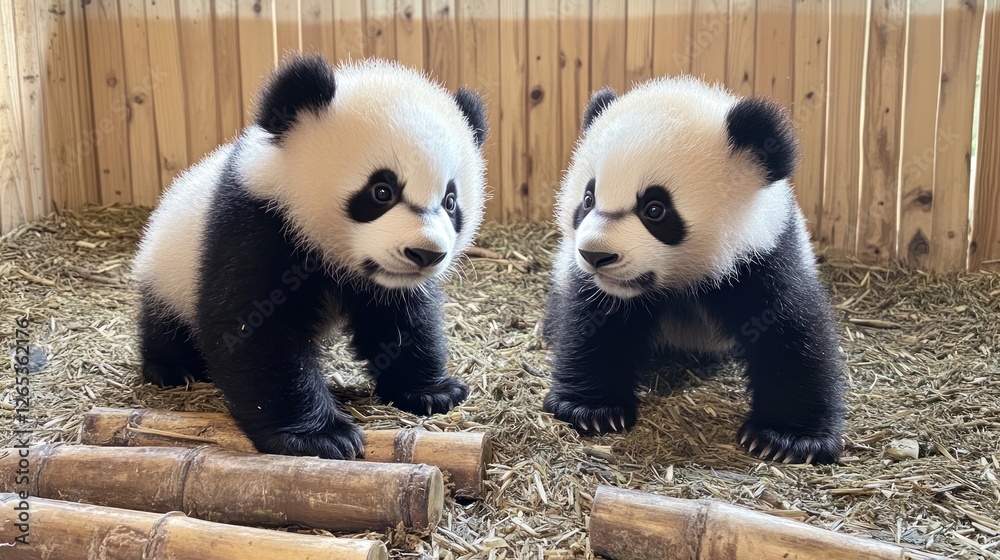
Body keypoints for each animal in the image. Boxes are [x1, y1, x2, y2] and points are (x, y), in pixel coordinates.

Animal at [132, 54, 489, 460]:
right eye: (381, 191)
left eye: (450, 201)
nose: (426, 253)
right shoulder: (257, 224)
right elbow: (255, 331)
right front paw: (319, 436)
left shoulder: (388, 283)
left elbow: (402, 318)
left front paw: (431, 391)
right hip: (169, 267)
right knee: (165, 320)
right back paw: (173, 368)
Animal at [543, 77, 846, 464]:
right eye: (587, 199)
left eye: (655, 209)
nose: (595, 255)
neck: (681, 279)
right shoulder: (596, 286)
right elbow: (593, 325)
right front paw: (592, 410)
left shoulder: (764, 256)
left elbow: (791, 332)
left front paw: (786, 439)